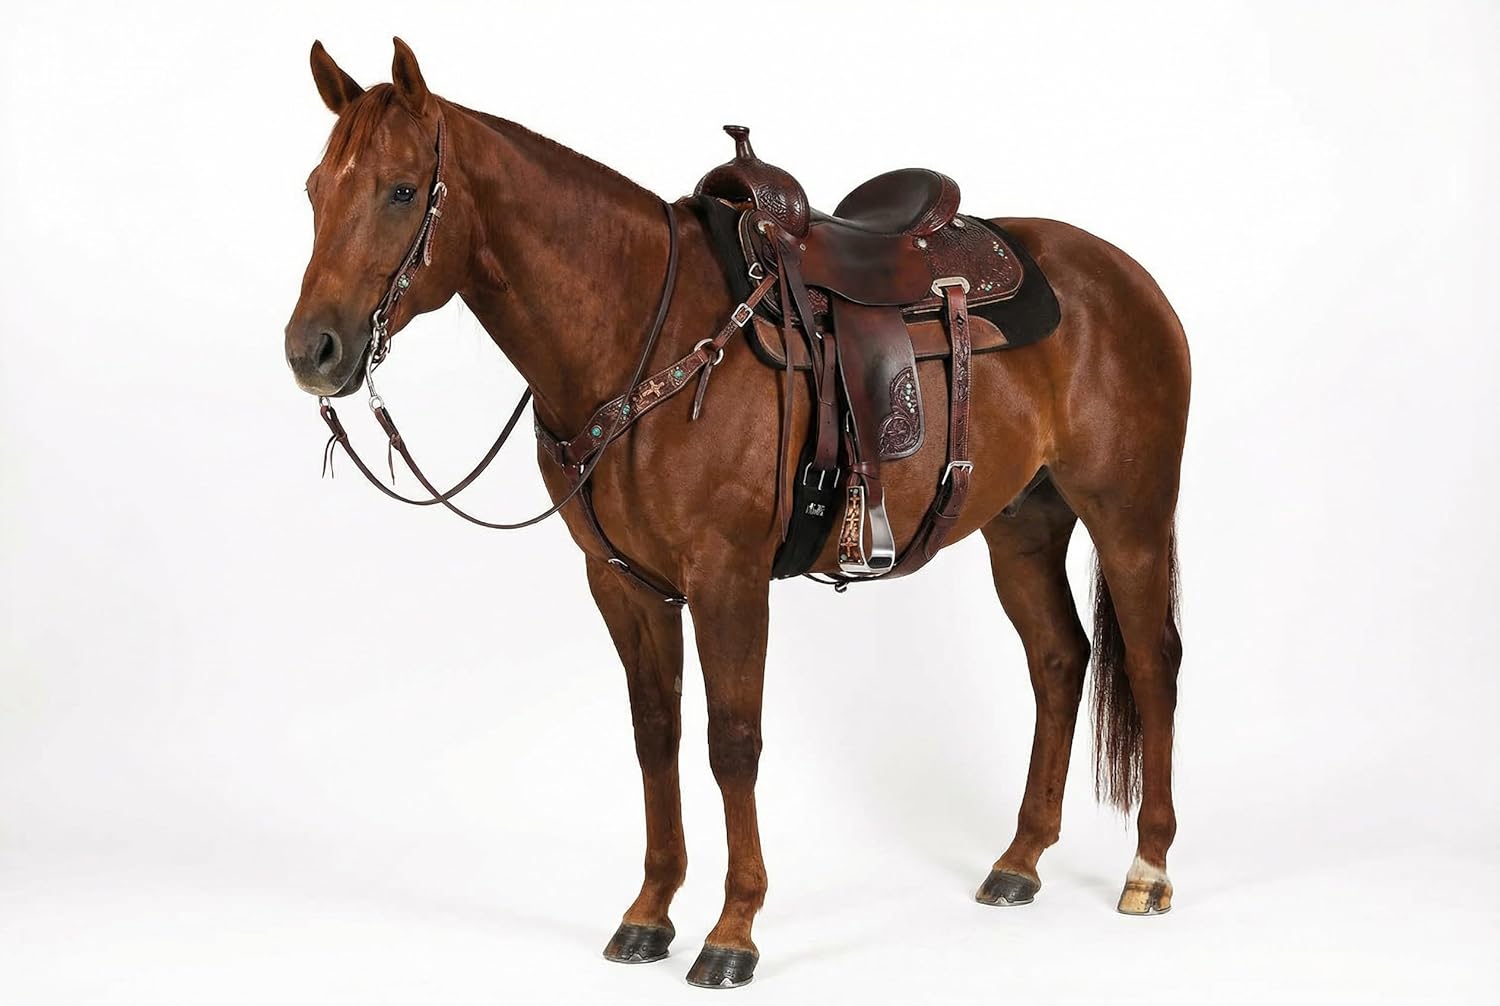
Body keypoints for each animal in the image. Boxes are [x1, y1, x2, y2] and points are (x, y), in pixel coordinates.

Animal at [284, 37, 1189, 989]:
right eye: (314, 189)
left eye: (400, 191)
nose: (313, 351)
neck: (637, 331)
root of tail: (1125, 275)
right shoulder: (622, 582)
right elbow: (656, 735)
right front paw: (649, 913)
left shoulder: (728, 577)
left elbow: (732, 741)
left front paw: (733, 931)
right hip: (1021, 526)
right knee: (1059, 659)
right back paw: (1019, 862)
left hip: (1129, 516)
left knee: (1153, 661)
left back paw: (1149, 867)